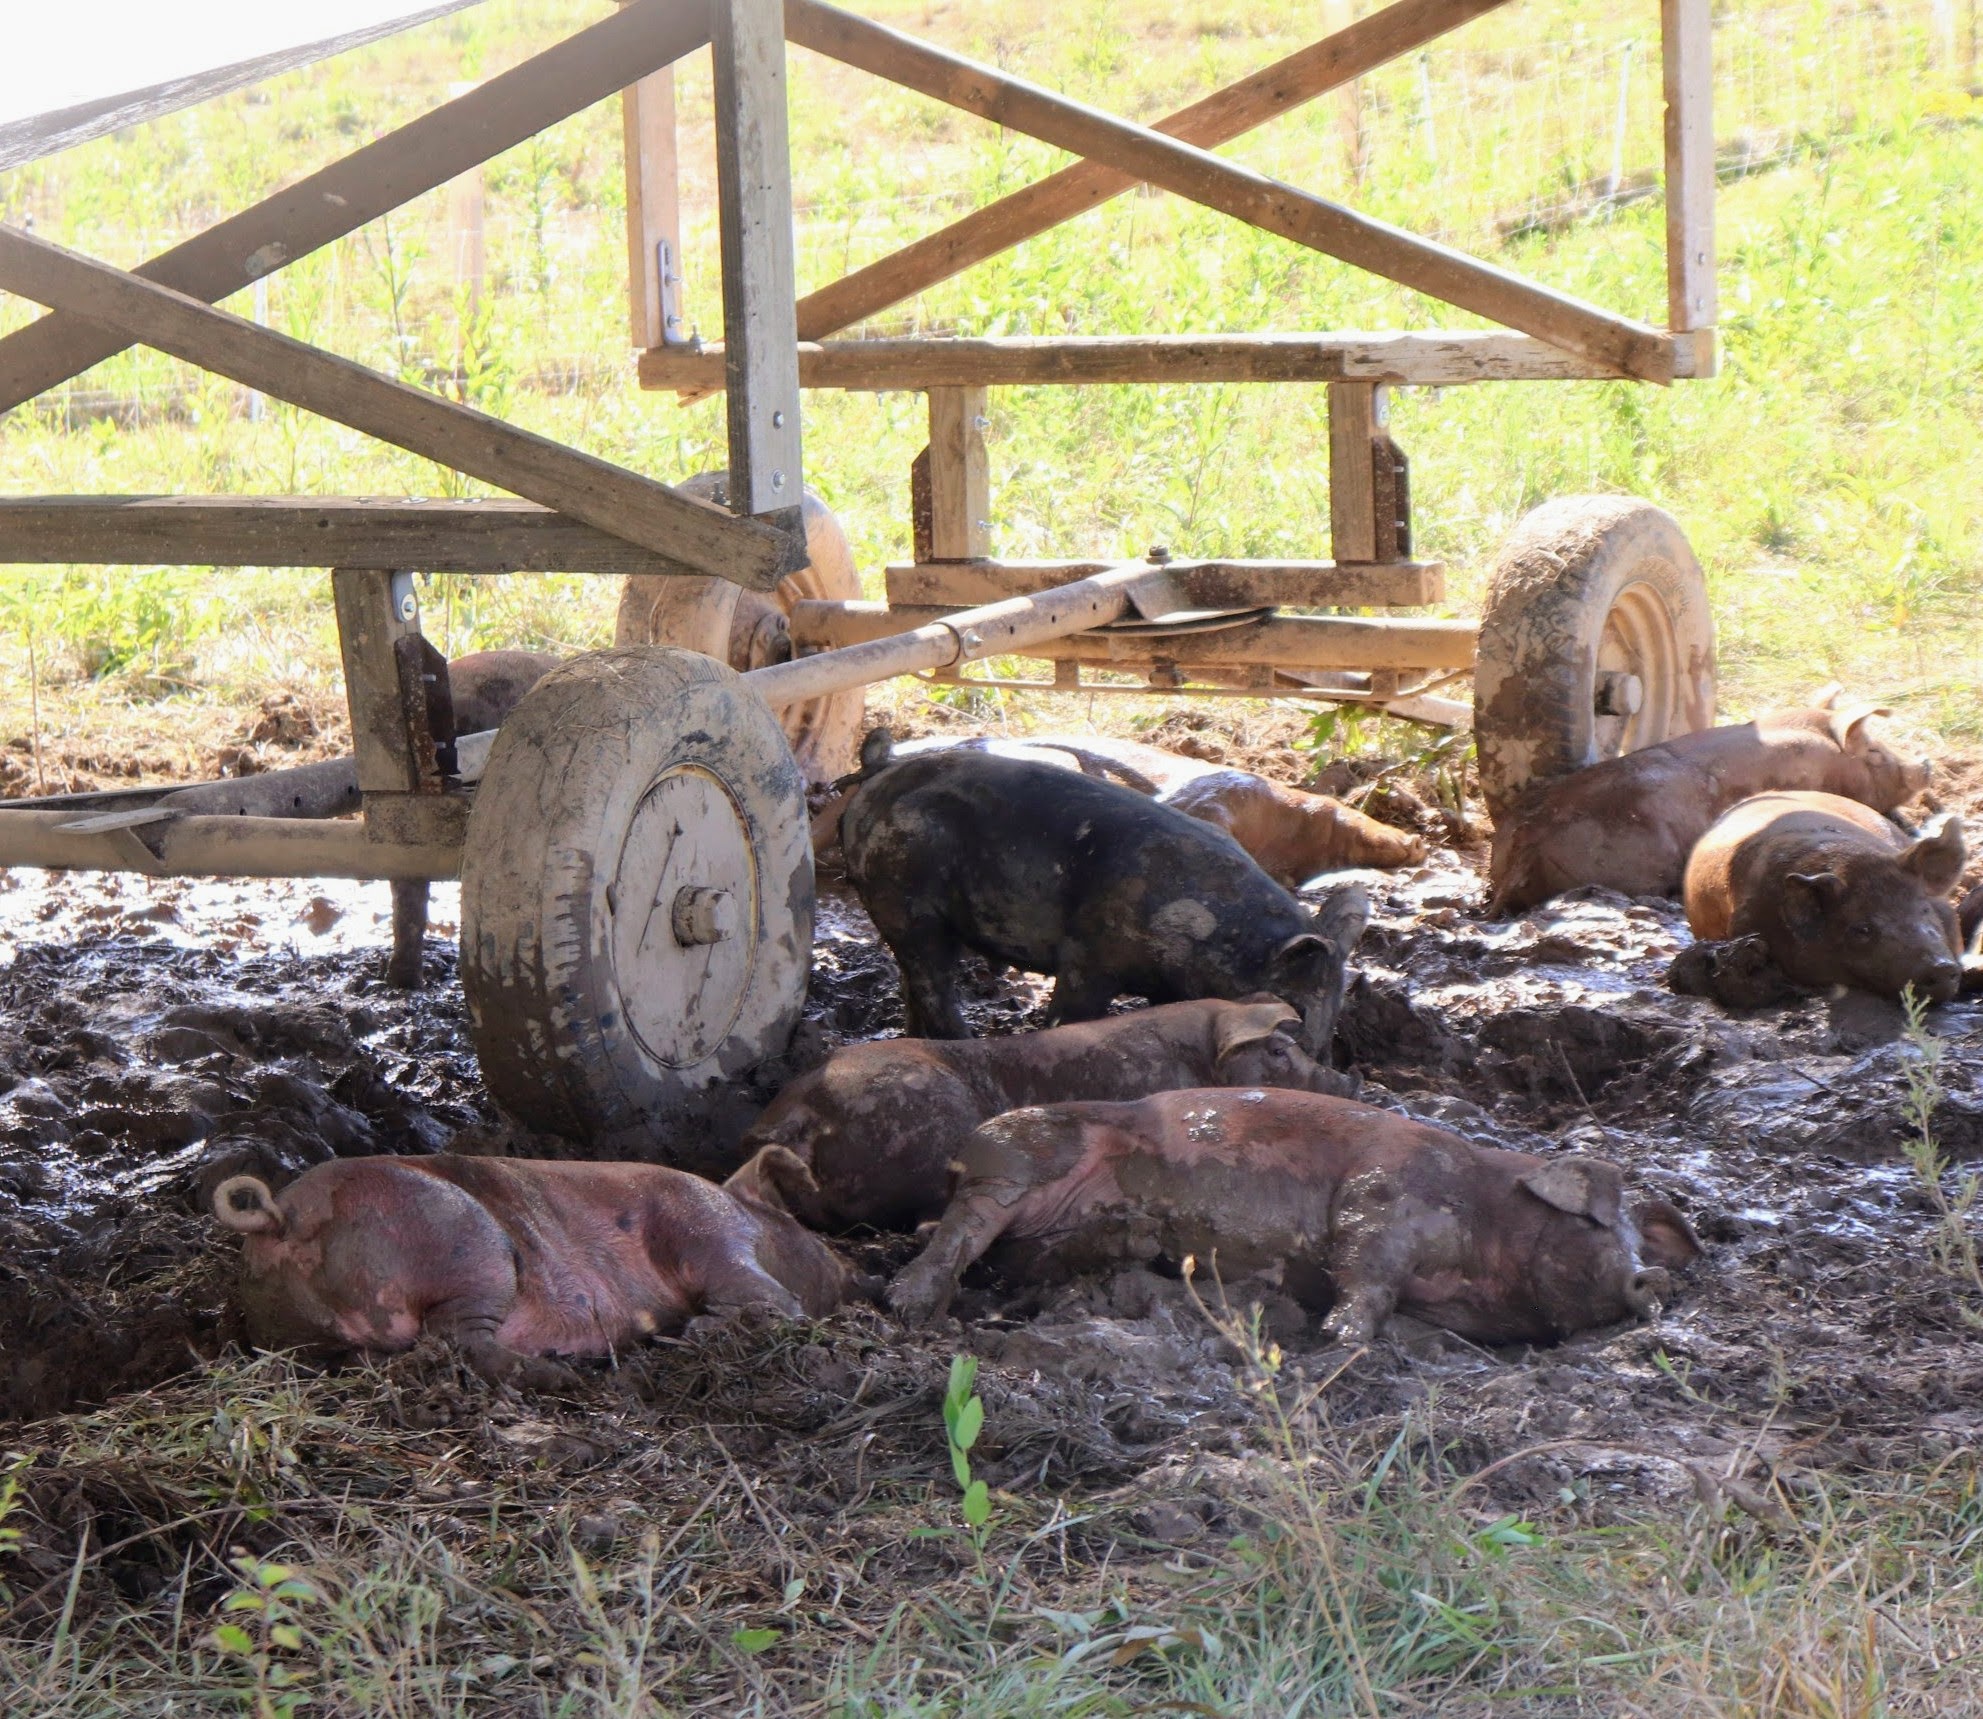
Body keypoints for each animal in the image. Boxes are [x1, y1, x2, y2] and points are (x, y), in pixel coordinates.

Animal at [212, 1152, 855, 1388]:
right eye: (802, 1223)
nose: (853, 1266)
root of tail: (281, 1216)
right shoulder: (707, 1230)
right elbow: (769, 1298)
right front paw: (694, 1333)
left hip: (302, 1336)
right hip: (471, 1246)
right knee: (461, 1342)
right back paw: (562, 1376)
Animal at [839, 737, 1371, 1051]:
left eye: (1336, 1011)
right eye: (1297, 1010)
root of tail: (880, 772)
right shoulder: (1088, 955)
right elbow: (1070, 1014)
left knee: (912, 981)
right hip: (902, 898)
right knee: (933, 979)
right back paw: (963, 1044)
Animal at [887, 1088, 1702, 1346]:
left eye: (1636, 1236)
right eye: (1597, 1223)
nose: (1652, 1278)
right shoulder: (1381, 1194)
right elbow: (1366, 1267)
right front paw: (1340, 1337)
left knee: (1017, 1258)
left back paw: (1131, 1236)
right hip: (1016, 1154)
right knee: (965, 1229)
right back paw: (907, 1302)